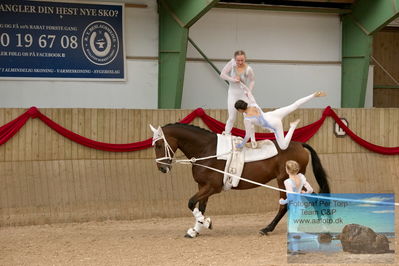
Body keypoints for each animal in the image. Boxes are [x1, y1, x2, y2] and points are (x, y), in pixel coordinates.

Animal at [151, 122, 332, 237]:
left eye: (159, 145)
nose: (162, 168)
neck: (206, 150)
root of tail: (300, 144)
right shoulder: (203, 187)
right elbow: (200, 207)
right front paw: (196, 230)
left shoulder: (212, 187)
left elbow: (190, 203)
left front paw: (206, 223)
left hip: (287, 180)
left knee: (302, 200)